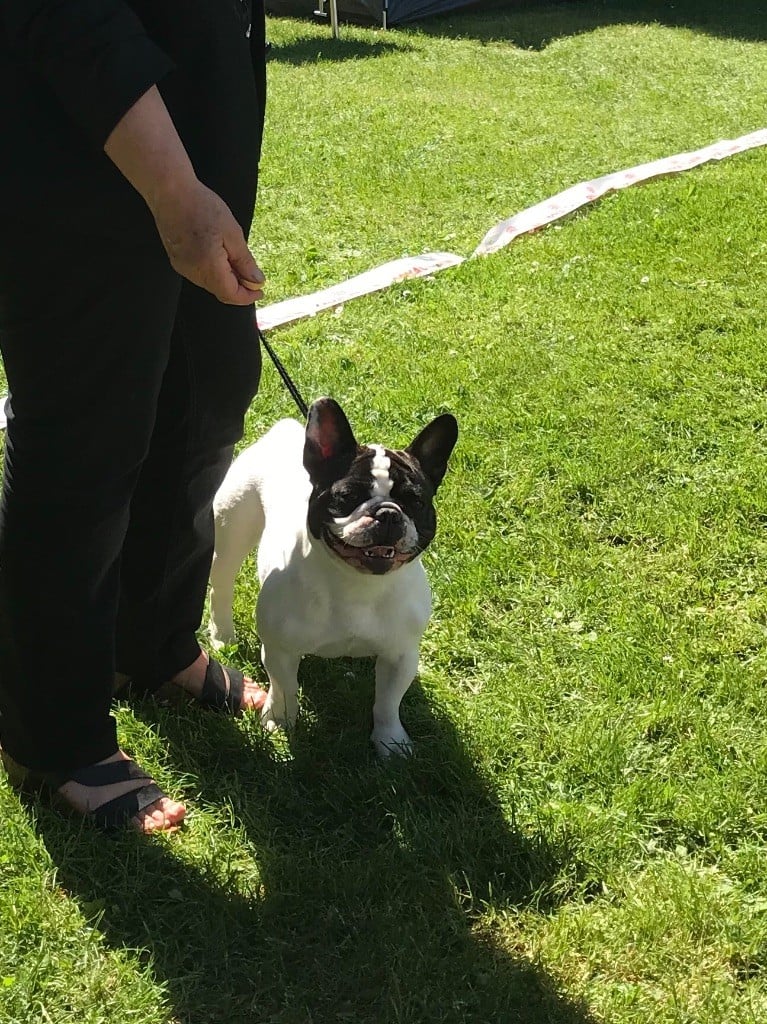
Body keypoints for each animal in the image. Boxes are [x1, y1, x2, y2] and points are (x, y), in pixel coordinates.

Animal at [207, 395, 454, 757]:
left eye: (415, 501)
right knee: (221, 585)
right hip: (232, 530)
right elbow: (284, 688)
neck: (359, 583)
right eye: (348, 497)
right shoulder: (280, 650)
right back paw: (223, 635)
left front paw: (390, 742)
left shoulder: (400, 655)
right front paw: (278, 721)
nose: (387, 514)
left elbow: (387, 703)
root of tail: (284, 430)